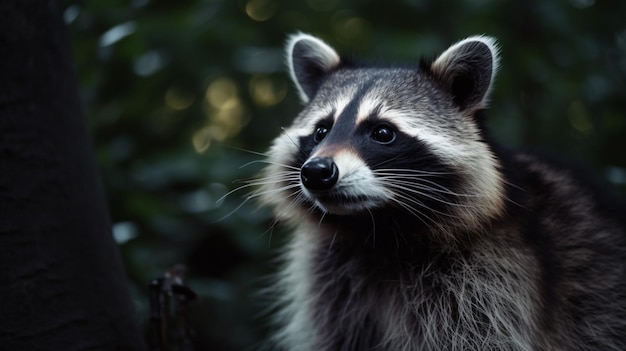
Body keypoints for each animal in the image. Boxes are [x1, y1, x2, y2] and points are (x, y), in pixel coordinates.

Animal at [255, 33, 624, 351]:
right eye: (321, 131)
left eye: (382, 133)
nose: (316, 172)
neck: (376, 230)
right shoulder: (330, 284)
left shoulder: (489, 279)